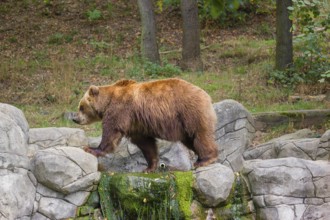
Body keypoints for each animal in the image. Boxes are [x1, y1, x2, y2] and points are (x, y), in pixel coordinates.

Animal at [71, 78, 218, 172]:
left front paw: (91, 148)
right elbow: (146, 144)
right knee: (190, 140)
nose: (75, 119)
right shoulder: (136, 123)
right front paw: (149, 167)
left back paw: (205, 159)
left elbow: (111, 131)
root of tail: (206, 94)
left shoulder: (121, 110)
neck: (107, 102)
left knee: (199, 135)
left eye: (81, 107)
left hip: (189, 111)